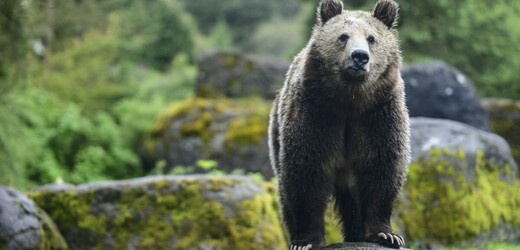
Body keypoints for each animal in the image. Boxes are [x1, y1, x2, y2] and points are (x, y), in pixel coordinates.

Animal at [268, 0, 410, 249]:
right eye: (343, 36)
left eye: (371, 38)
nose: (360, 56)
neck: (350, 100)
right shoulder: (317, 114)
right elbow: (306, 171)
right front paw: (306, 240)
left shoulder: (378, 116)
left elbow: (382, 167)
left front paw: (386, 234)